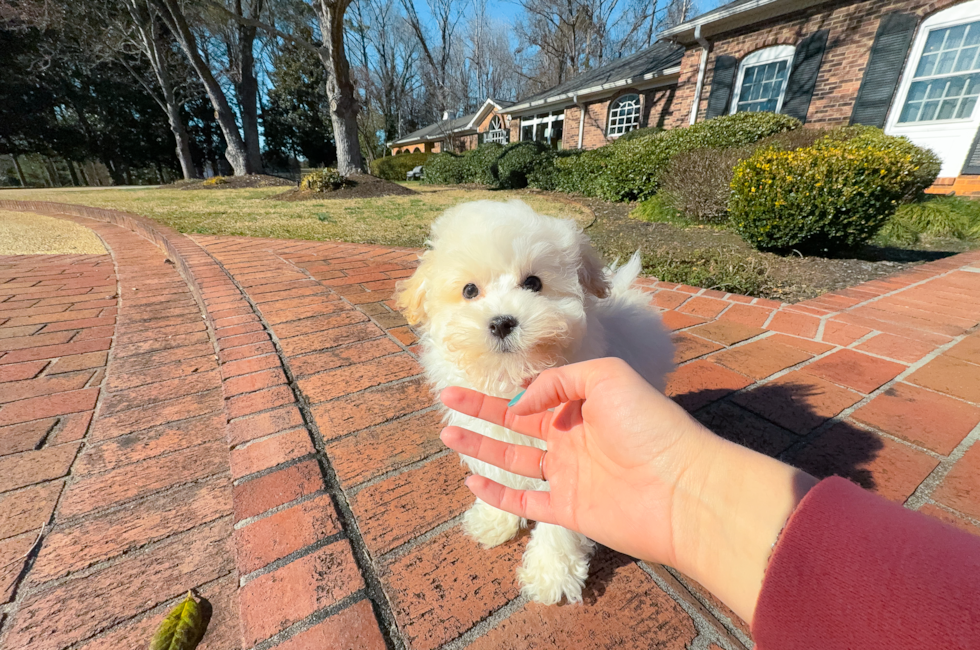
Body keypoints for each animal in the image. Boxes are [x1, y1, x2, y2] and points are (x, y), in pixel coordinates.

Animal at [394, 199, 676, 604]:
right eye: (469, 290)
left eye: (533, 283)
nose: (501, 322)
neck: (513, 376)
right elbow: (496, 473)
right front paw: (494, 520)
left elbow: (560, 515)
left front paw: (552, 573)